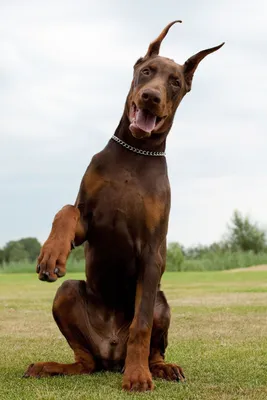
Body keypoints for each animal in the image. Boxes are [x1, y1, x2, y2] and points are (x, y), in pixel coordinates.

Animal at [25, 21, 225, 390]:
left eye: (175, 82)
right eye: (147, 71)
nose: (151, 96)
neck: (136, 152)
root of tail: (111, 354)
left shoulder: (151, 251)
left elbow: (141, 325)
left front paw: (137, 376)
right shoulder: (88, 219)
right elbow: (67, 210)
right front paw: (52, 253)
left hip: (161, 300)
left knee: (149, 343)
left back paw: (158, 368)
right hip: (67, 293)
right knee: (85, 361)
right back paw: (50, 366)